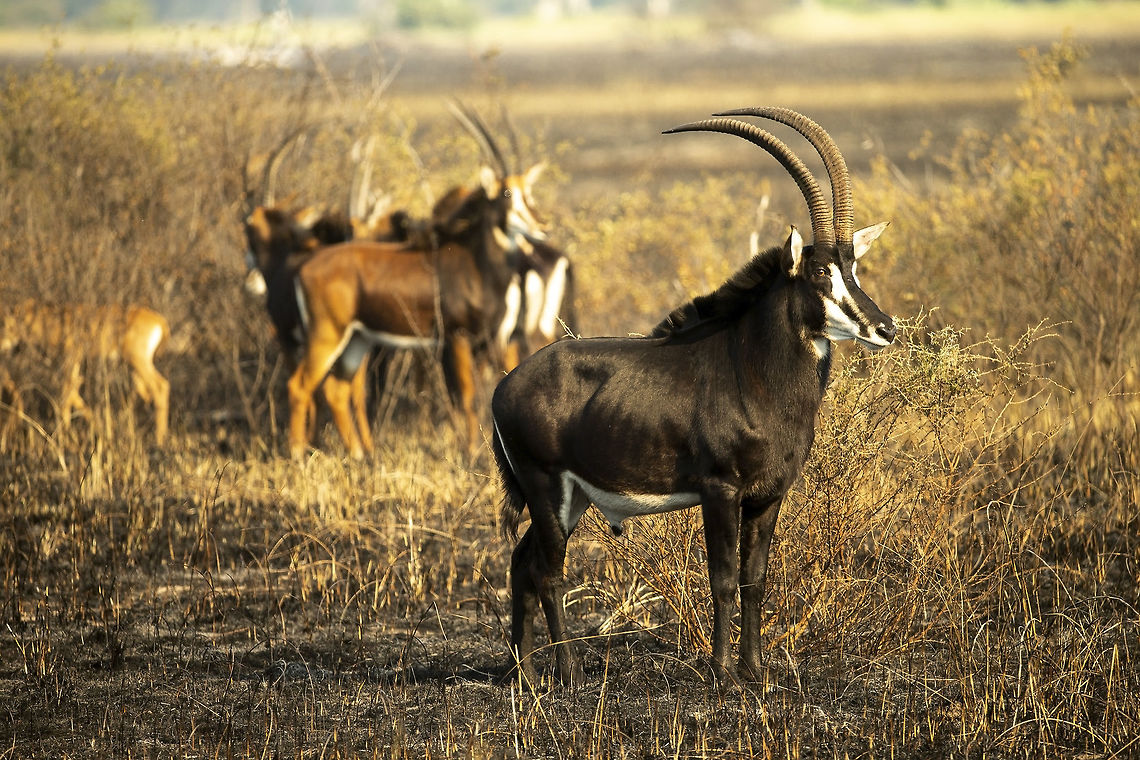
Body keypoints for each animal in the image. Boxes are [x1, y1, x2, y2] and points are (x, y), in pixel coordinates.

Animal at [0, 300, 170, 444]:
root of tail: (159, 321)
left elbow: (66, 395)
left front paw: (65, 439)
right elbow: (73, 393)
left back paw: (160, 440)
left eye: (4, 325)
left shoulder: (72, 358)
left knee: (160, 386)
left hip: (137, 360)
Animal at [490, 107, 897, 686]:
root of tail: (504, 386)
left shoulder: (767, 497)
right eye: (821, 270)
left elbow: (755, 581)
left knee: (523, 565)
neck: (753, 369)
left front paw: (755, 670)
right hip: (547, 489)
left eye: (854, 267)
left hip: (572, 498)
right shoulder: (719, 490)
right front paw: (724, 674)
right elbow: (722, 580)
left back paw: (523, 675)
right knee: (547, 572)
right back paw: (567, 675)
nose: (884, 327)